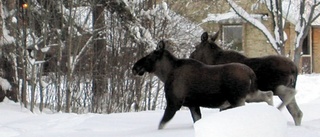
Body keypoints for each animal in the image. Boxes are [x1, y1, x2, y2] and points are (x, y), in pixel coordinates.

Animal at [132, 39, 272, 130]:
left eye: (149, 56)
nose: (135, 67)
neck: (166, 74)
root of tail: (251, 74)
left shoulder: (174, 103)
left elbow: (161, 124)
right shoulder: (192, 104)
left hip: (238, 99)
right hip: (250, 94)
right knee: (268, 94)